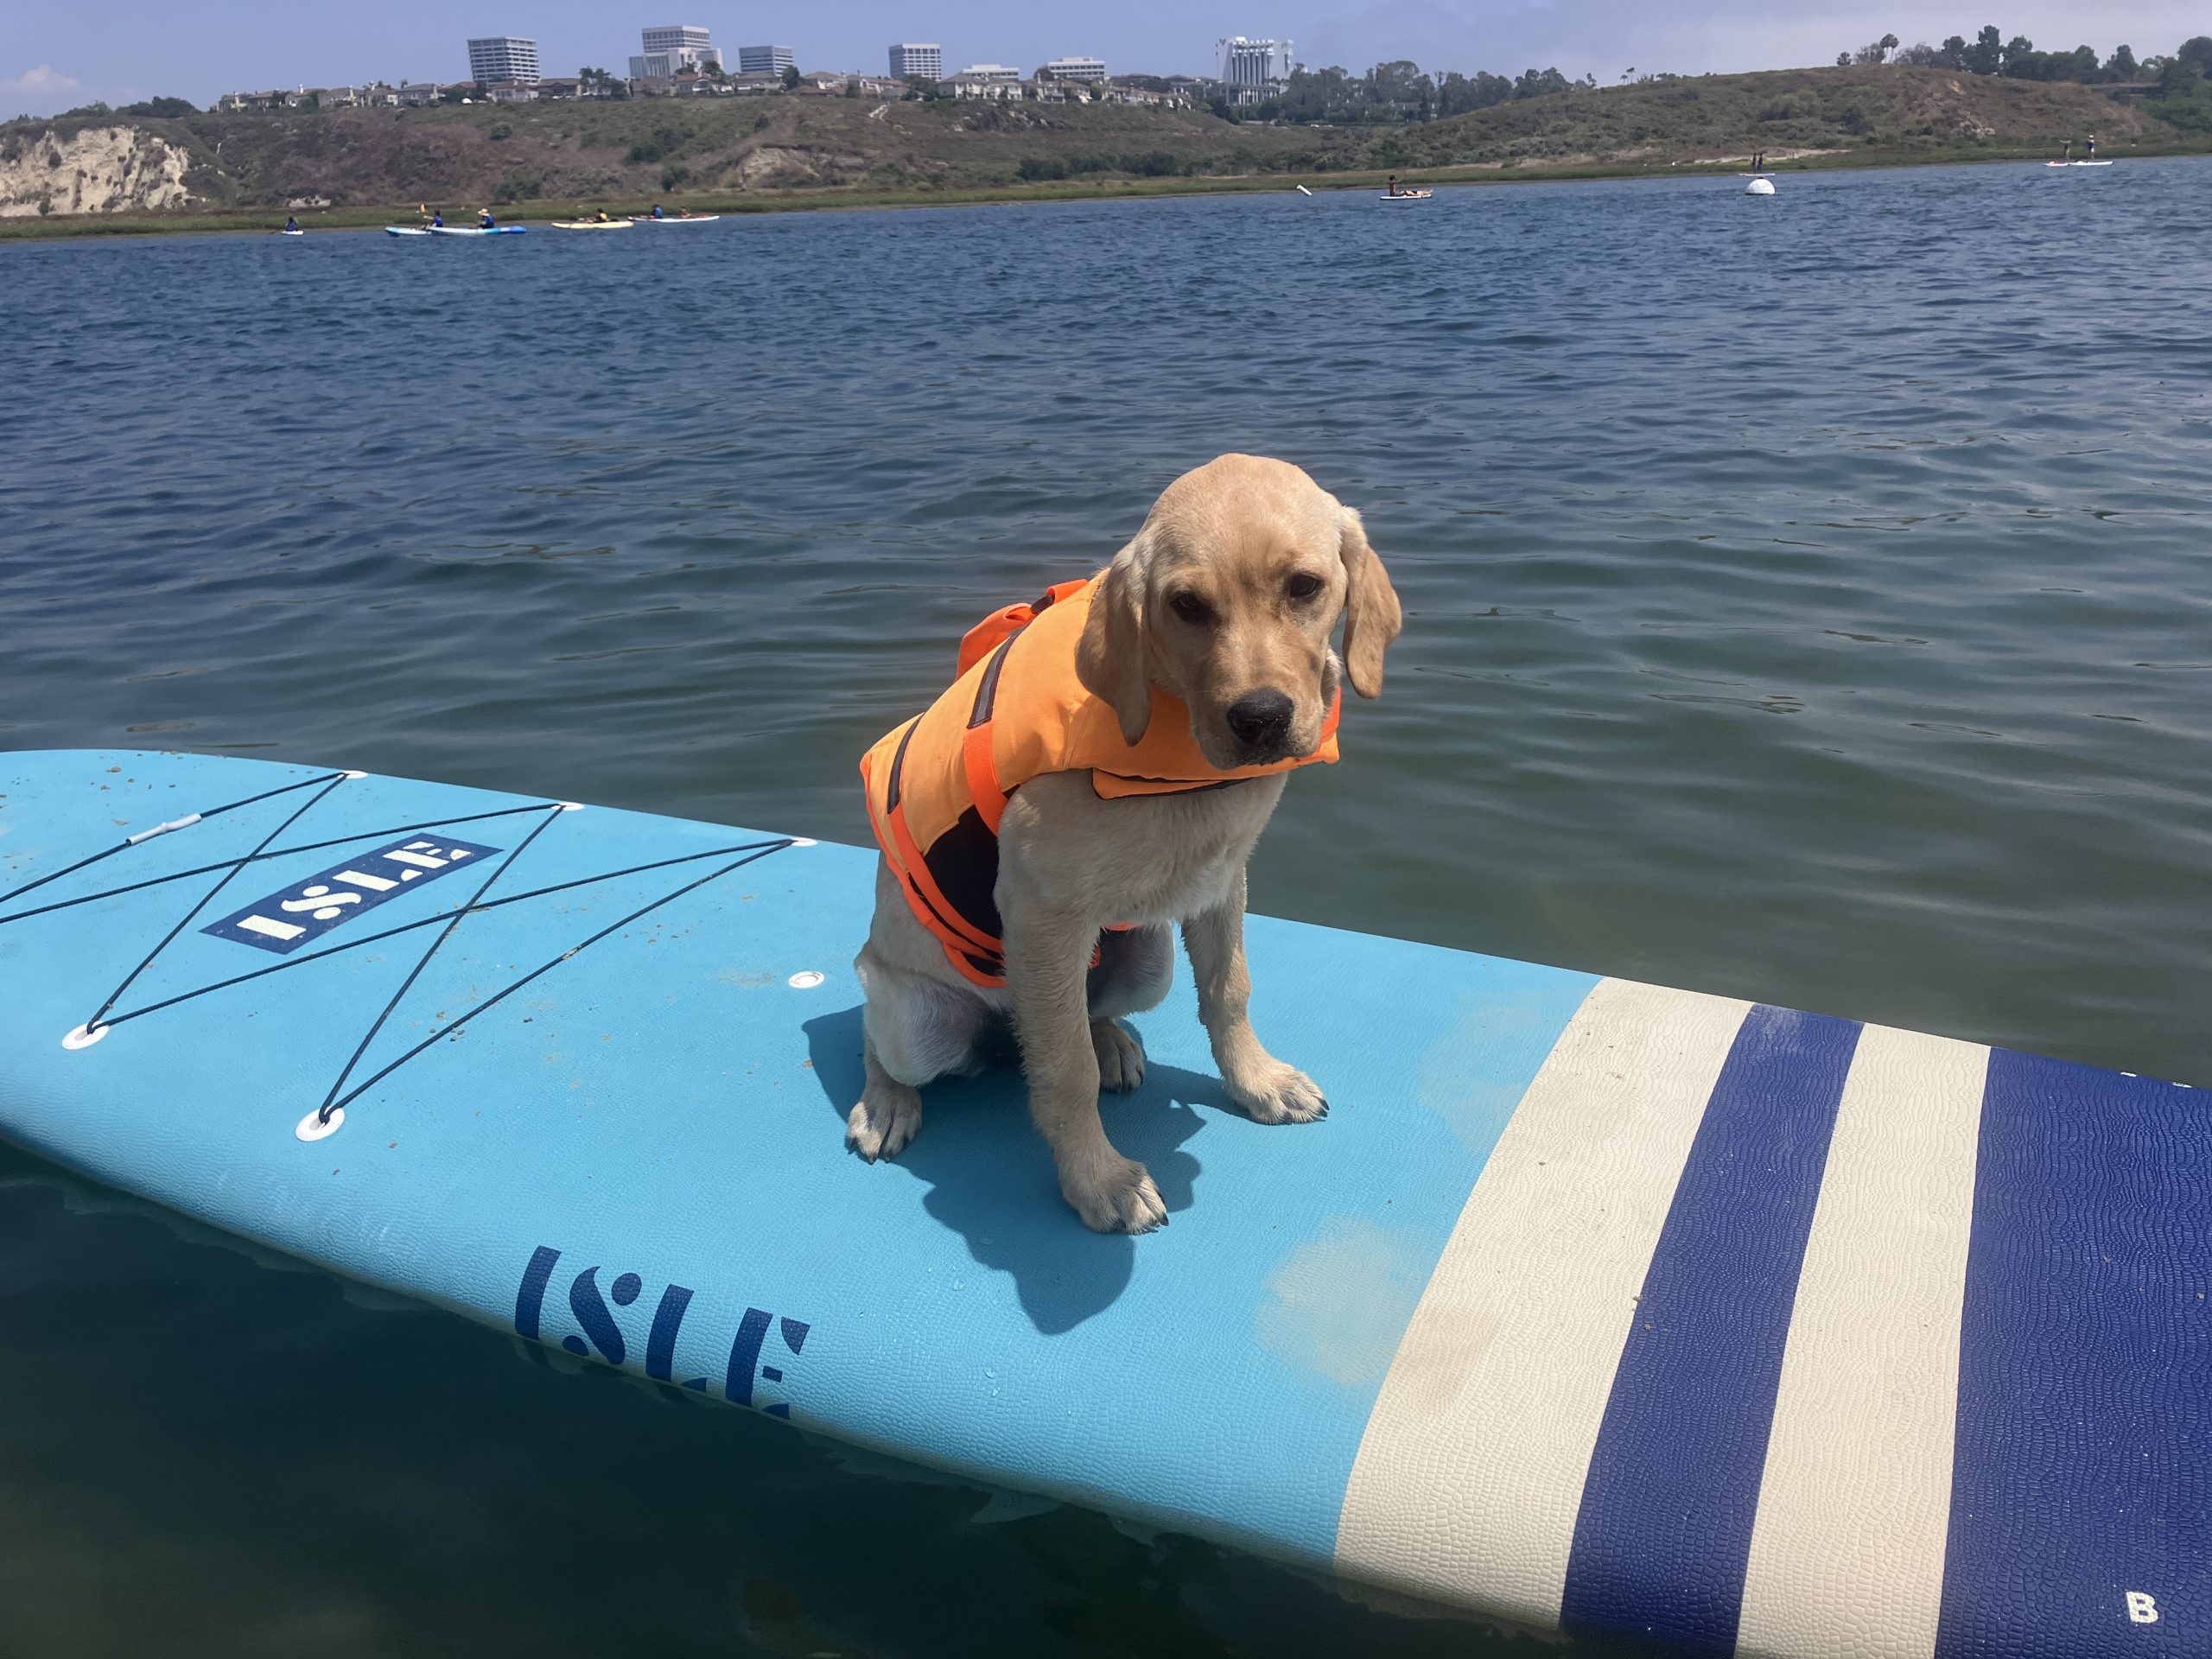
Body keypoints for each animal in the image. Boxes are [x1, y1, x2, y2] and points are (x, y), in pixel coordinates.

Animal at [844, 455, 1397, 1238]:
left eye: (1305, 586)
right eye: (1186, 604)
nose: (1260, 718)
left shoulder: (1223, 879)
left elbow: (1229, 991)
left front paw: (1258, 1083)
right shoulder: (1043, 917)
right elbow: (1063, 1071)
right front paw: (1099, 1180)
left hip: (1149, 960)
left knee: (1089, 1012)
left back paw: (1112, 1042)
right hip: (916, 1022)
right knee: (887, 1041)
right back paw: (886, 1102)